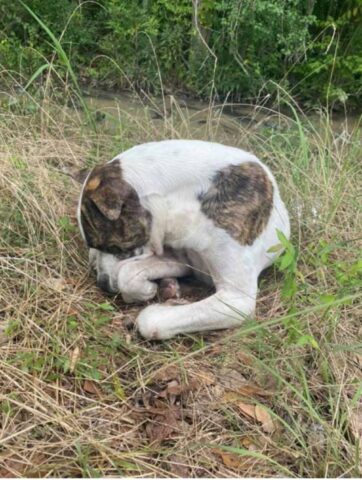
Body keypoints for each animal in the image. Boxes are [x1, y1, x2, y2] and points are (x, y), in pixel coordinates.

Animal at [75, 141, 288, 340]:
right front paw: (147, 289)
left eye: (113, 246)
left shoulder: (236, 299)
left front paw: (168, 306)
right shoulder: (182, 260)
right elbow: (126, 274)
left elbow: (150, 321)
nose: (102, 284)